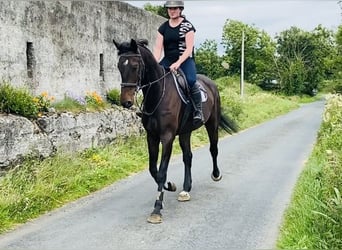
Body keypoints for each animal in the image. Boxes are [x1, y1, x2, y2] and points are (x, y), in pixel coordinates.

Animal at [113, 38, 238, 224]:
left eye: (135, 66)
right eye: (119, 66)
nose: (126, 102)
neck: (158, 94)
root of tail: (211, 83)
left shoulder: (167, 137)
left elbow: (162, 171)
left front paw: (157, 209)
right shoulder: (152, 137)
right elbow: (153, 169)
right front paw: (170, 187)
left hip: (212, 124)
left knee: (213, 149)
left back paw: (216, 174)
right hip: (185, 132)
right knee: (188, 156)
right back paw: (186, 189)